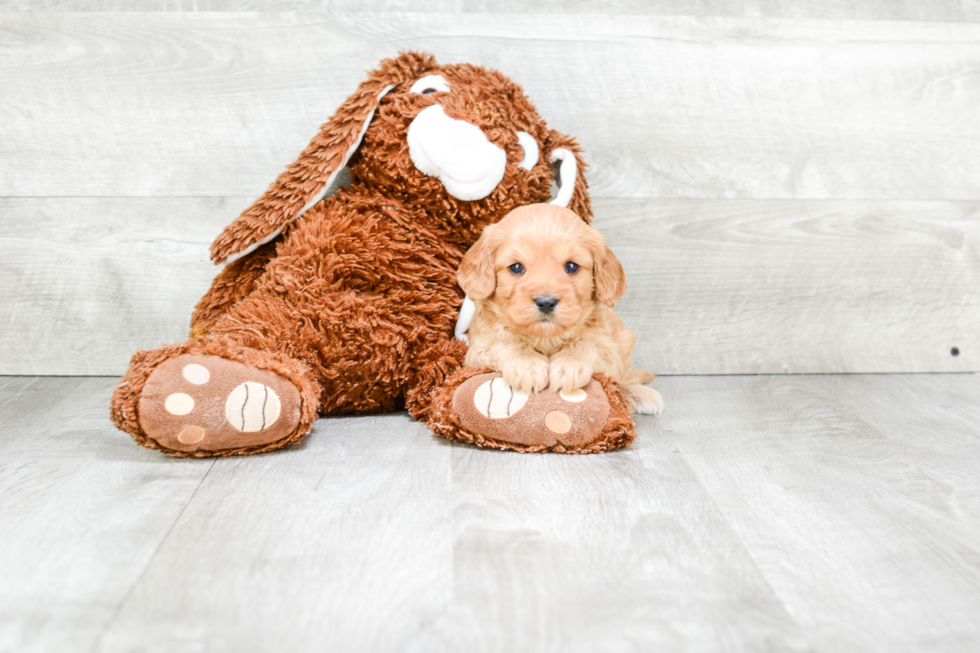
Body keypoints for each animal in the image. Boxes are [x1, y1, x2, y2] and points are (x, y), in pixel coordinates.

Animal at [456, 204, 664, 412]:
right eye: (516, 267)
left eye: (571, 266)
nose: (546, 302)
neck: (546, 338)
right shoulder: (477, 350)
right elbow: (506, 342)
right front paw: (528, 366)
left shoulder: (608, 350)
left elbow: (587, 343)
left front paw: (569, 366)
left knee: (623, 378)